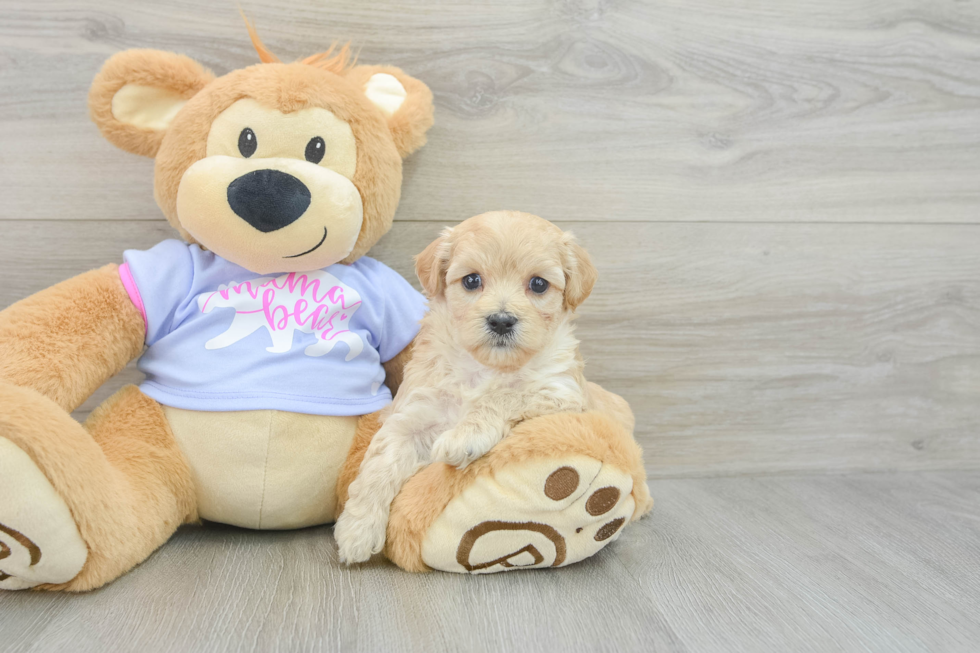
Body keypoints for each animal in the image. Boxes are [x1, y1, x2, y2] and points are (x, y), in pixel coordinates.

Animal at [334, 211, 596, 564]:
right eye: (471, 280)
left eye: (538, 284)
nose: (501, 320)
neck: (483, 367)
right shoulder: (412, 415)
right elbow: (379, 465)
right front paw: (357, 530)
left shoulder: (561, 393)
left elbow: (504, 395)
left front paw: (465, 436)